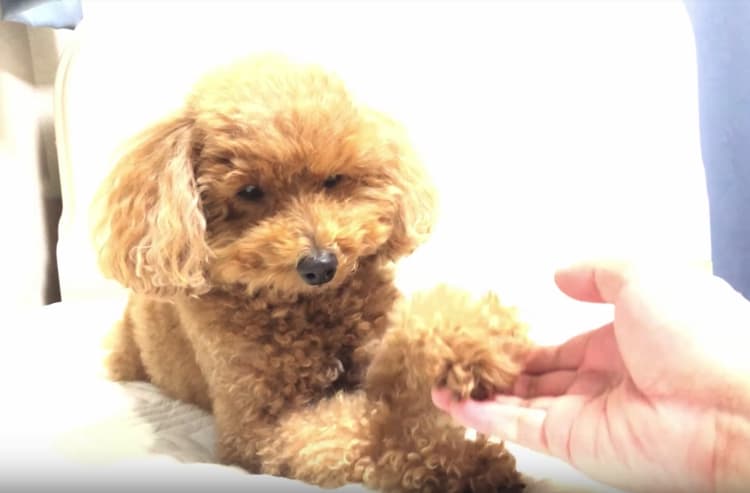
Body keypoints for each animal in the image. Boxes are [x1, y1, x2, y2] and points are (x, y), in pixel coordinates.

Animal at [95, 54, 530, 492]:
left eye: (333, 180)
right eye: (249, 191)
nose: (321, 266)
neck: (308, 310)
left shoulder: (373, 342)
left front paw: (473, 344)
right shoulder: (258, 430)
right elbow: (363, 435)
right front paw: (466, 463)